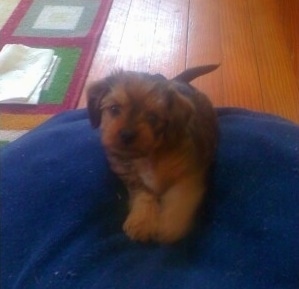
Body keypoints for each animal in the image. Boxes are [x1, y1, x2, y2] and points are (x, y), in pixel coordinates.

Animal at [88, 64, 219, 242]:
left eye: (152, 117)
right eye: (114, 109)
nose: (126, 134)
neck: (149, 155)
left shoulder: (188, 174)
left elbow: (180, 197)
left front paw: (171, 224)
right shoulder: (133, 179)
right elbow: (144, 195)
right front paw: (142, 220)